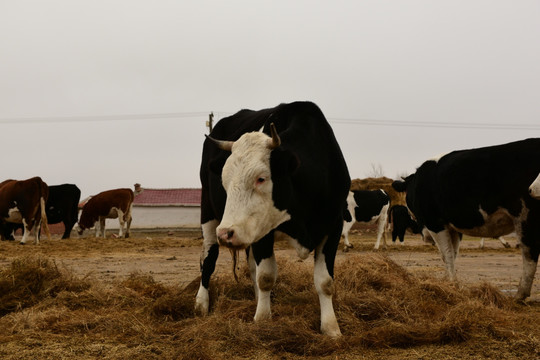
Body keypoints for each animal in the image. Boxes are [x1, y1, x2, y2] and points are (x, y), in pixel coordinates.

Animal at [194, 101, 350, 338]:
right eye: (224, 180)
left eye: (261, 178)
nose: (226, 233)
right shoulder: (263, 232)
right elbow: (266, 277)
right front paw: (262, 320)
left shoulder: (332, 227)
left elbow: (325, 282)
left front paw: (331, 328)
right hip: (209, 213)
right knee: (209, 259)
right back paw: (201, 303)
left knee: (251, 266)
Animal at [392, 138, 540, 300]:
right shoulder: (453, 228)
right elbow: (453, 253)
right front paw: (448, 281)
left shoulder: (435, 223)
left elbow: (447, 254)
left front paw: (452, 283)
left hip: (525, 216)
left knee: (529, 252)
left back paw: (520, 294)